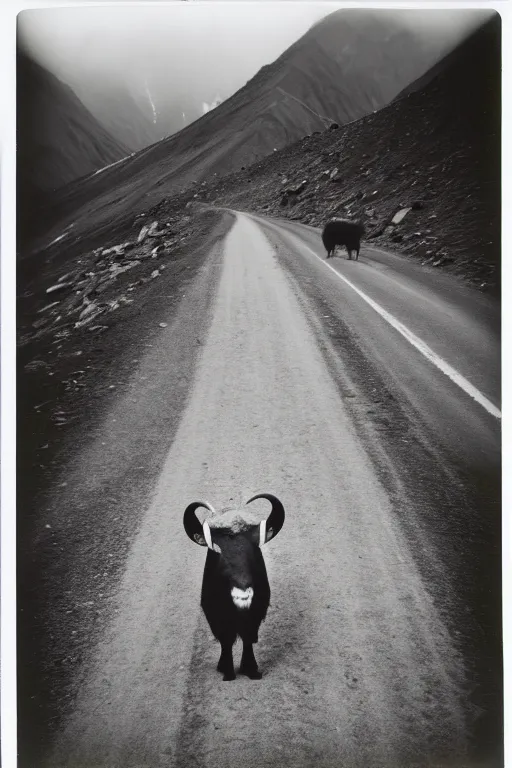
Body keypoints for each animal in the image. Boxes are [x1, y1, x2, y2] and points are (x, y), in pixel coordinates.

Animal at [183, 496, 284, 680]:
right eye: (217, 551)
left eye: (255, 549)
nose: (243, 592)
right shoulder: (215, 615)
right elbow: (226, 640)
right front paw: (227, 671)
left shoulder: (256, 613)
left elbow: (248, 637)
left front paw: (251, 670)